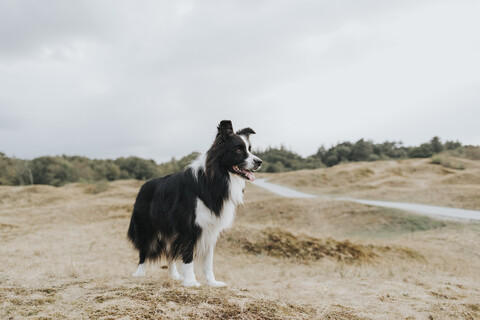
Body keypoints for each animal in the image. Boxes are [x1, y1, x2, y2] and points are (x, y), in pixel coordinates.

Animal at [127, 120, 262, 288]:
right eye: (238, 149)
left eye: (249, 149)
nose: (259, 162)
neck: (215, 179)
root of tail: (144, 185)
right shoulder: (188, 226)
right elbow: (188, 255)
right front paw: (191, 281)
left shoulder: (211, 227)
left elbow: (208, 260)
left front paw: (212, 282)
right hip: (146, 226)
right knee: (144, 249)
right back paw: (139, 273)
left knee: (170, 252)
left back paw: (174, 275)